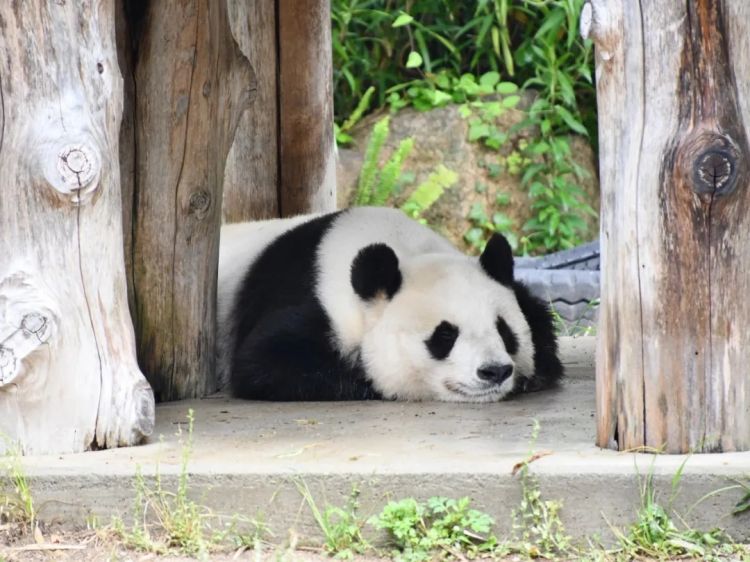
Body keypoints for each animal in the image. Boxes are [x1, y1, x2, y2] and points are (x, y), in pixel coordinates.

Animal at [217, 206, 564, 398]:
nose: (495, 371)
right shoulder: (312, 298)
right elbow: (263, 362)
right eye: (445, 335)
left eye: (504, 330)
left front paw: (534, 376)